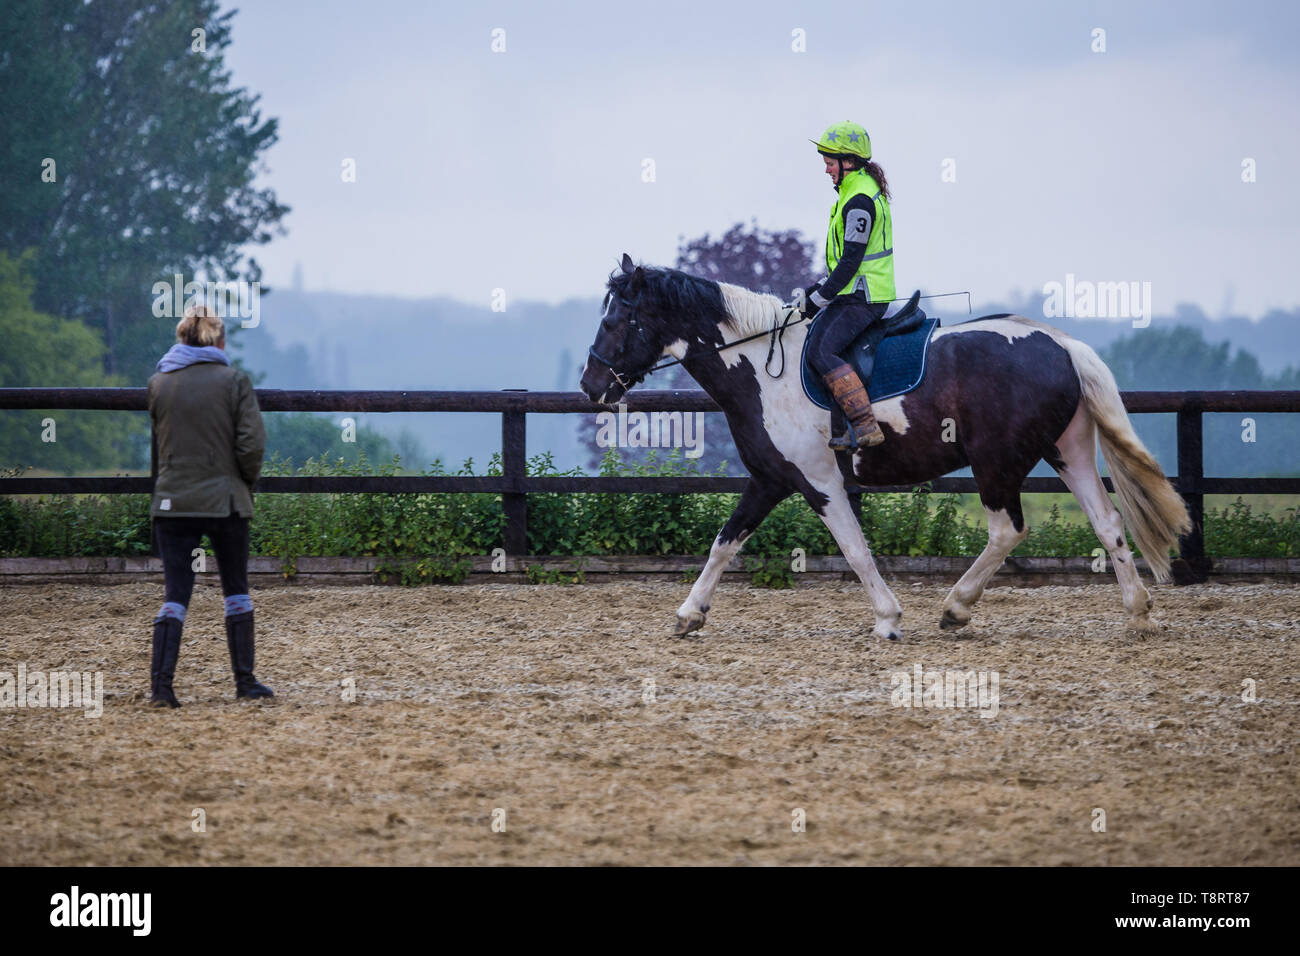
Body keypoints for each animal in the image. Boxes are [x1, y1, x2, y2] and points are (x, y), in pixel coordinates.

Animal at [585, 254, 1190, 642]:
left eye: (617, 319)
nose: (591, 387)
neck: (760, 368)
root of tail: (1061, 344)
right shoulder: (770, 479)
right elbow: (724, 544)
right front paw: (690, 614)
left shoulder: (819, 481)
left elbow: (855, 550)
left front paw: (889, 618)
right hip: (1067, 452)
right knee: (1108, 524)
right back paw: (1139, 612)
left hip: (996, 463)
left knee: (1007, 531)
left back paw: (955, 608)